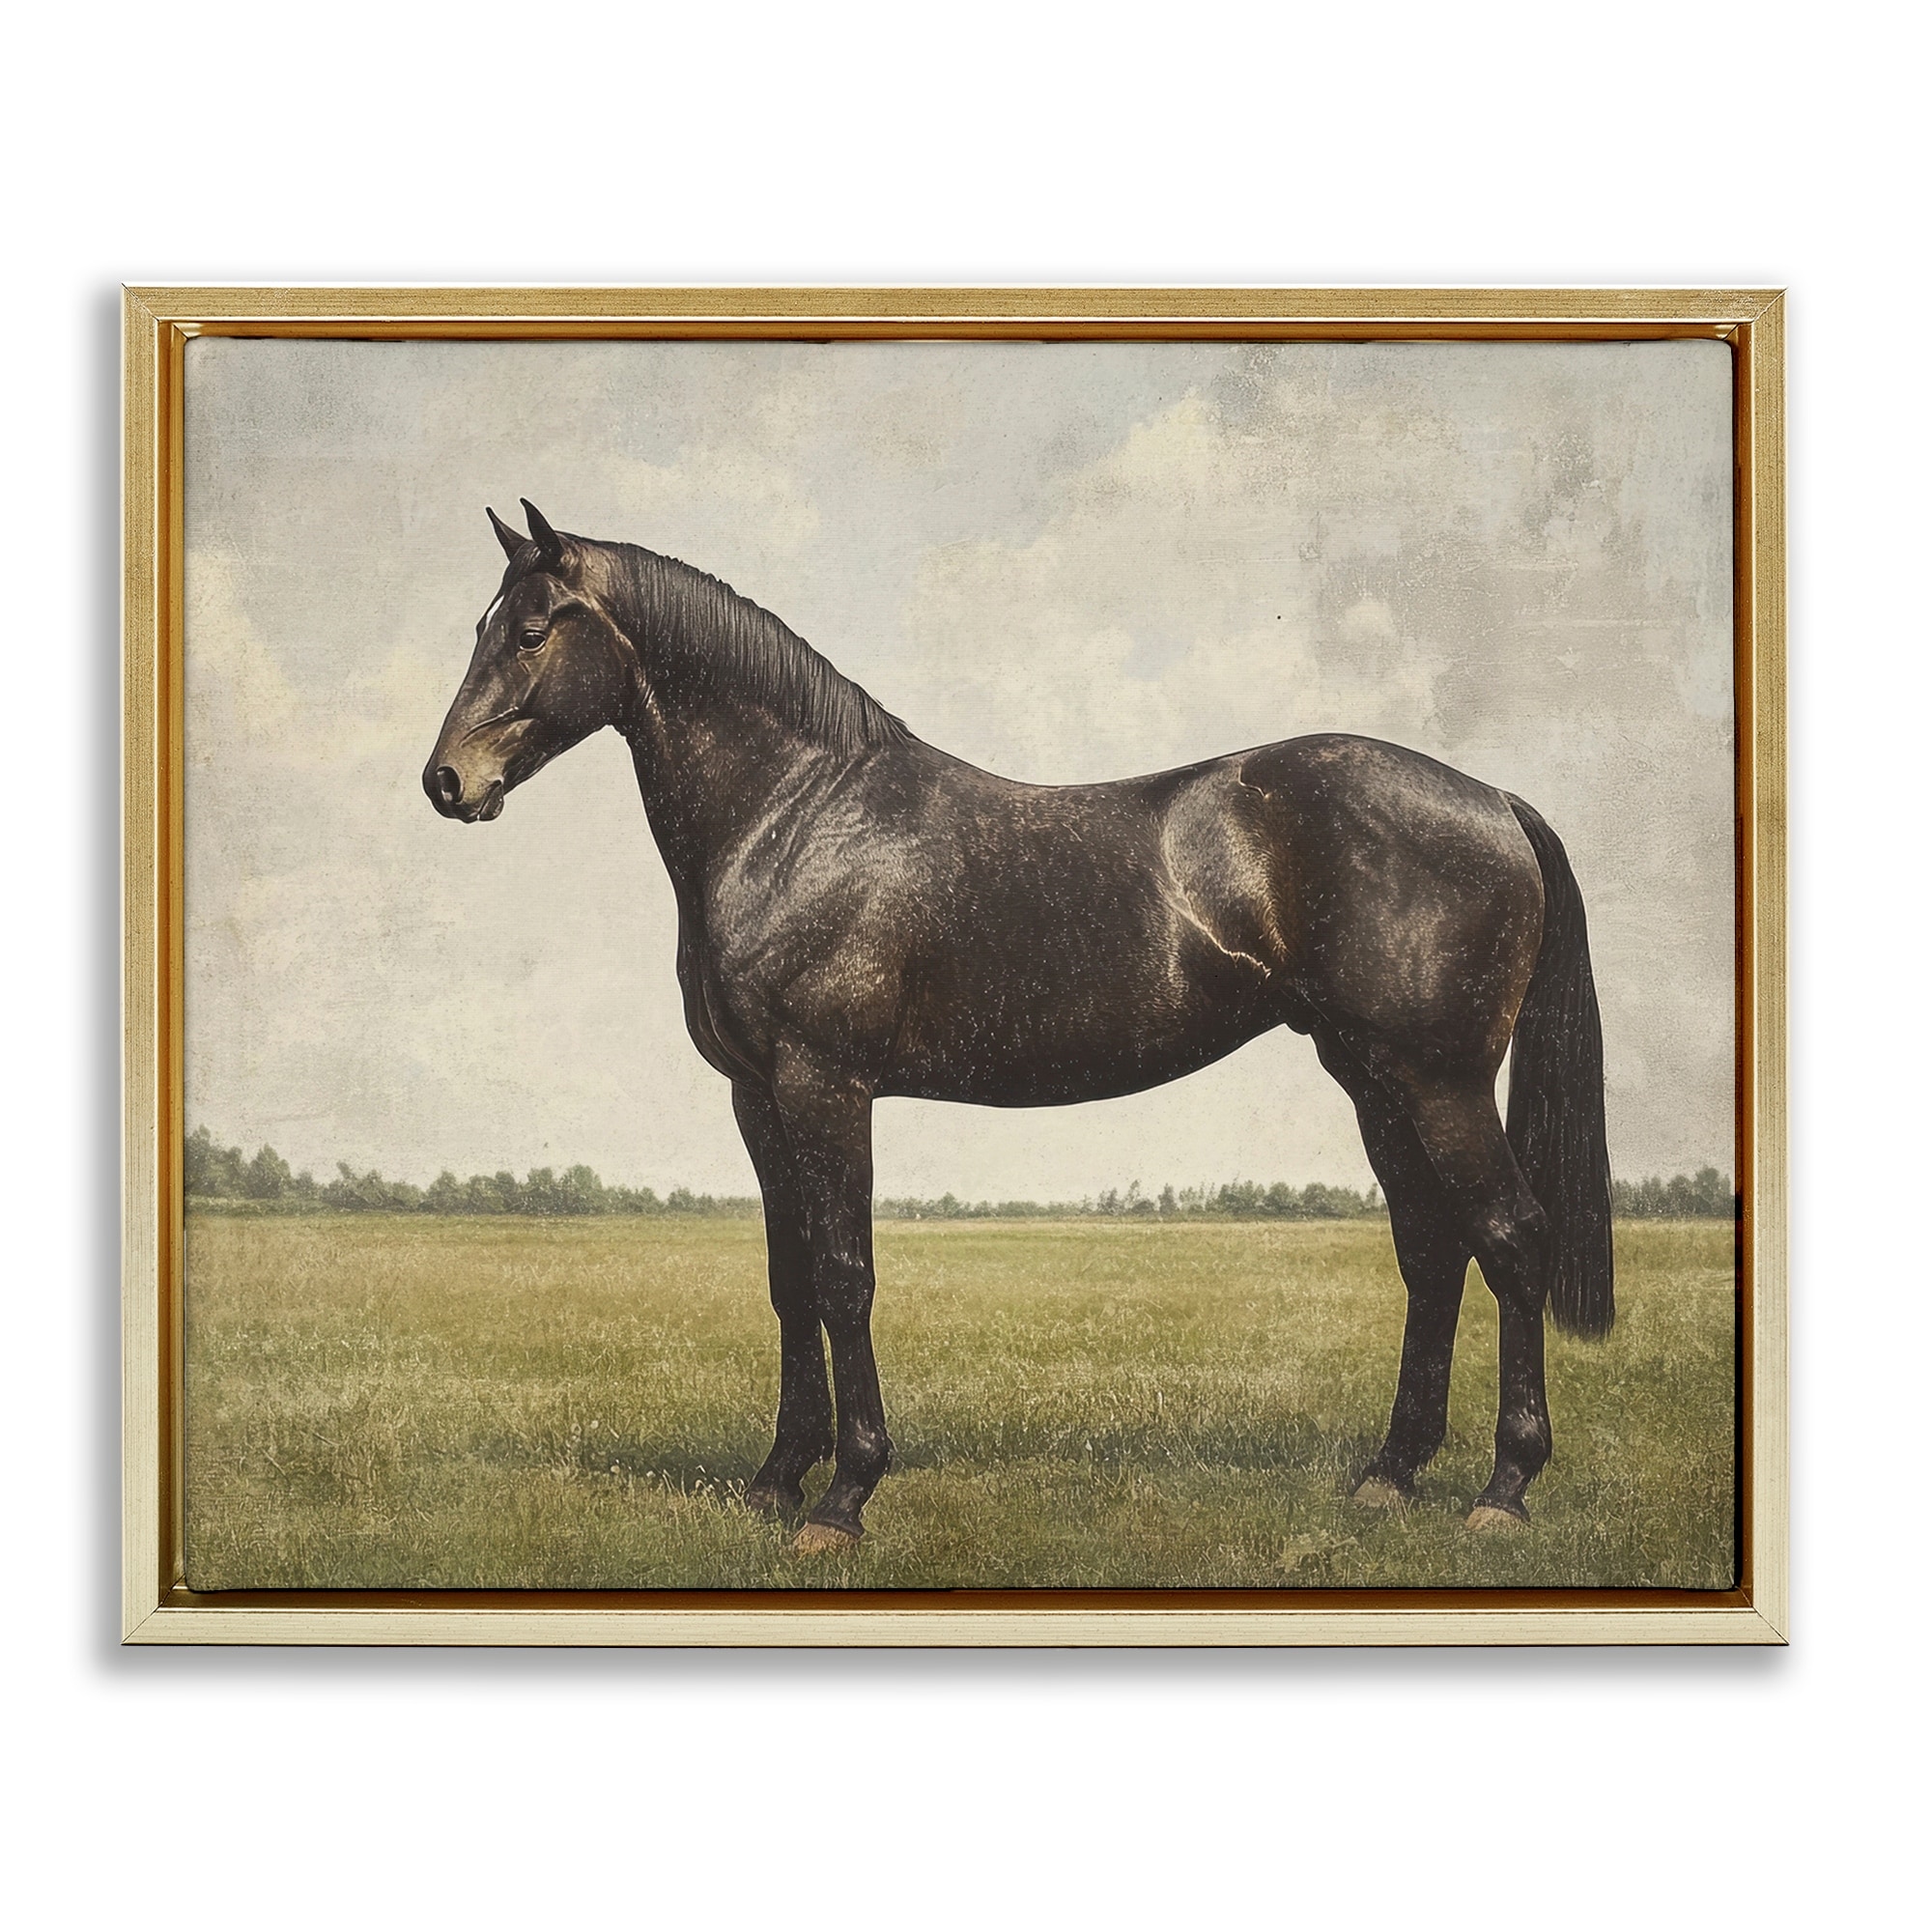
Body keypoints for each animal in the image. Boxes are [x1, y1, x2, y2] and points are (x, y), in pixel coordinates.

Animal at [424, 501, 1613, 1553]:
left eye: (532, 629)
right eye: (482, 624)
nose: (446, 781)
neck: (797, 814)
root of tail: (1493, 801)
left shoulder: (824, 1084)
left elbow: (844, 1272)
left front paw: (843, 1497)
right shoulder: (754, 1093)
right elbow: (789, 1278)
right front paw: (773, 1480)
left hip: (1439, 1080)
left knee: (1511, 1237)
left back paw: (1502, 1491)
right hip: (1372, 1079)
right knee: (1431, 1250)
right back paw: (1387, 1476)